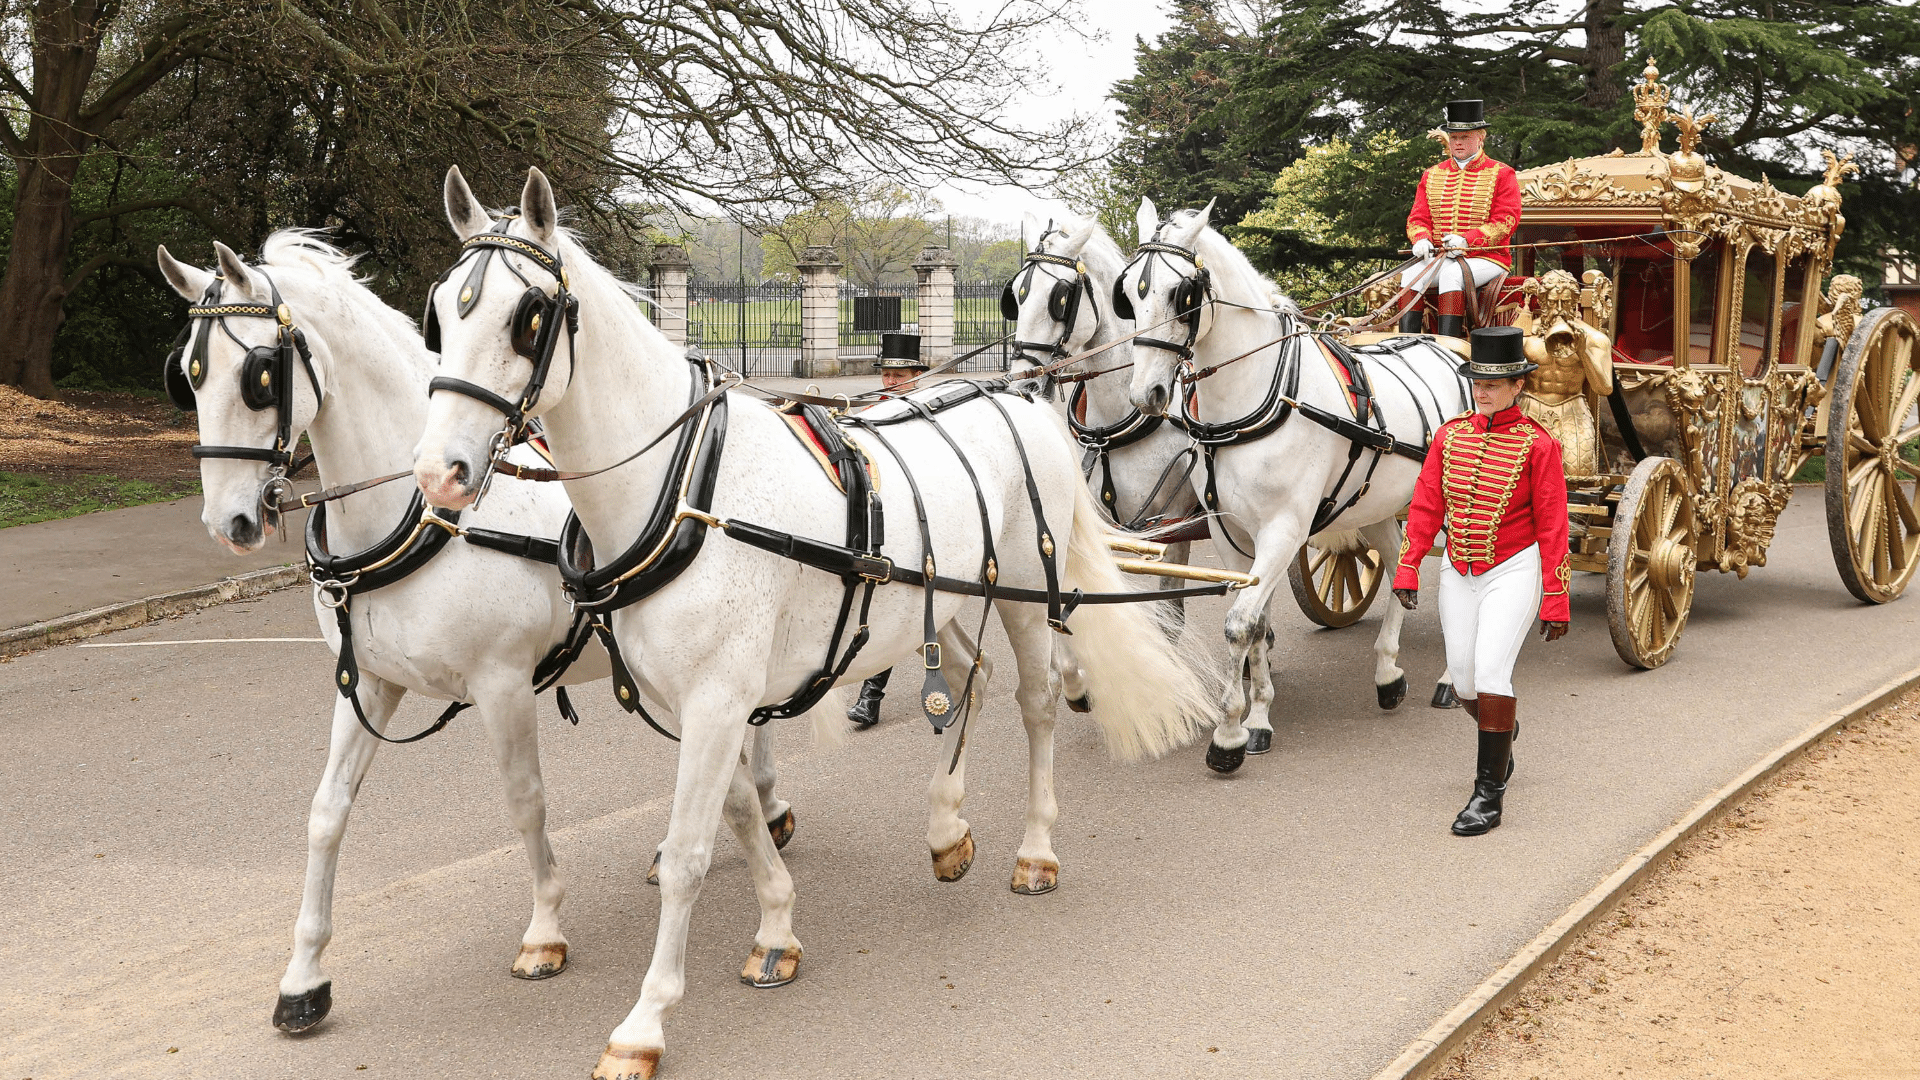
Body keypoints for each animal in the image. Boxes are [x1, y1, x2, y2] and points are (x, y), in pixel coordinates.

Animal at [151, 233, 794, 1037]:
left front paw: (545, 929)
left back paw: (767, 806)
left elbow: (526, 801)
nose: (229, 523)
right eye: (187, 375)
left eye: (259, 376)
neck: (419, 513)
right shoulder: (370, 683)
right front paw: (303, 977)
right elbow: (327, 813)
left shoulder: (502, 683)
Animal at [414, 164, 1213, 1068]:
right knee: (970, 679)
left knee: (1036, 702)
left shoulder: (718, 697)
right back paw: (946, 829)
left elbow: (689, 853)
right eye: (440, 311)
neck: (685, 486)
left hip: (1024, 592)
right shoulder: (696, 700)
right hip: (946, 596)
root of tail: (1018, 400)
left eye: (528, 315)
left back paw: (1036, 849)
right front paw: (776, 929)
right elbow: (735, 816)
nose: (439, 472)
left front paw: (645, 1021)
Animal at [1113, 193, 1466, 764]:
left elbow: (1239, 624)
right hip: (1375, 505)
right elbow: (1255, 623)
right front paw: (1256, 718)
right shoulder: (1232, 534)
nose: (1147, 393)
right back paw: (1388, 673)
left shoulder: (1285, 529)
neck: (1256, 397)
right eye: (1128, 294)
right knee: (1399, 566)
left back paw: (1453, 679)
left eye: (1182, 292)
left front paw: (1228, 734)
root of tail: (1447, 350)